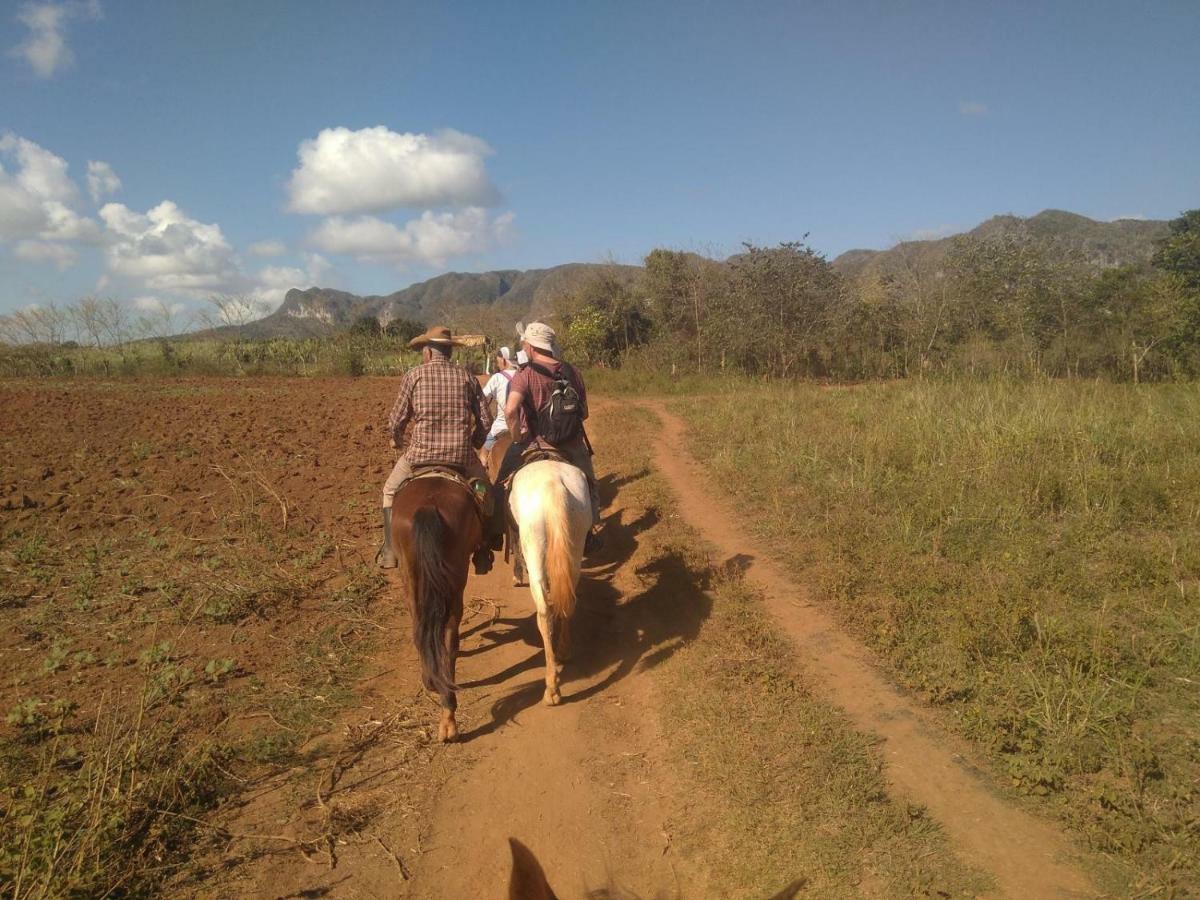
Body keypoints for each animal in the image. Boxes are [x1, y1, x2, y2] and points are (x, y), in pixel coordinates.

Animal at [506, 460, 590, 710]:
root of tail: (553, 485)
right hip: (575, 546)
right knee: (568, 602)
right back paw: (564, 651)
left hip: (534, 548)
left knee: (544, 613)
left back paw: (552, 688)